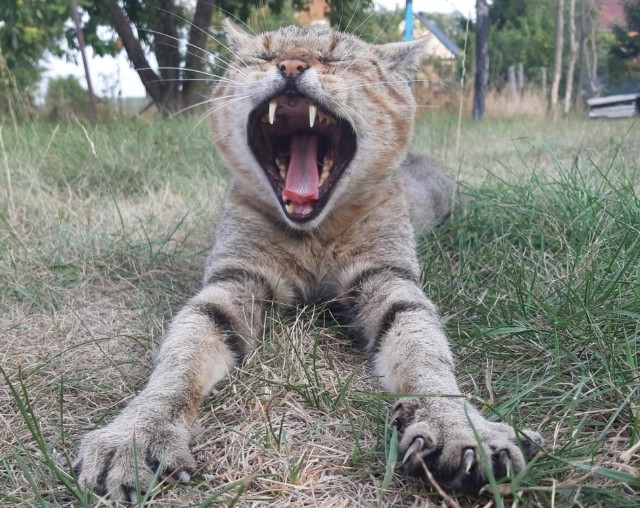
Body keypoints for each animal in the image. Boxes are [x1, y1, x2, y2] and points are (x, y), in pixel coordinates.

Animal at [74, 19, 540, 500]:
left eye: (337, 57)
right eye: (261, 54)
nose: (292, 64)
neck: (312, 236)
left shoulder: (390, 278)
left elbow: (423, 349)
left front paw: (458, 426)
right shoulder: (233, 280)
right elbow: (181, 355)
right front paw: (137, 432)